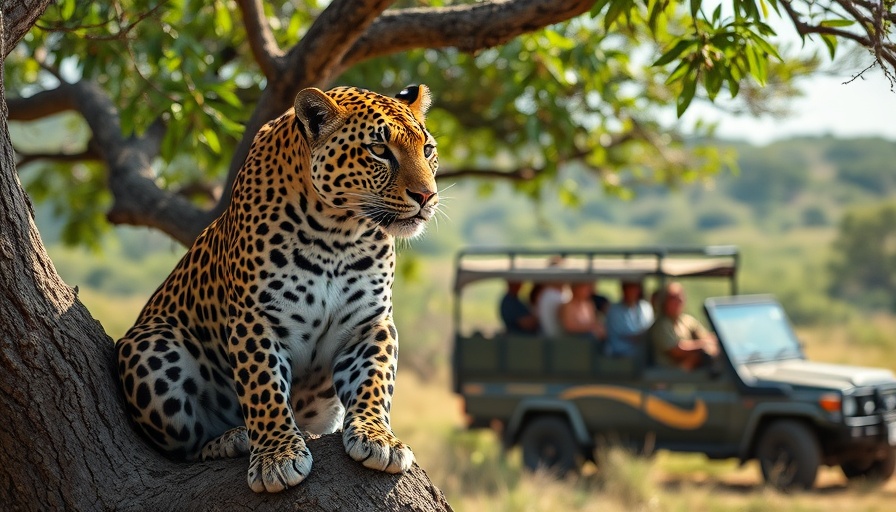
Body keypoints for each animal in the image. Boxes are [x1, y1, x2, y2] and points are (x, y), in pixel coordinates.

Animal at [115, 84, 439, 493]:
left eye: (428, 150)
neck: (337, 234)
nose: (427, 196)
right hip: (150, 344)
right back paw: (231, 439)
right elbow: (263, 387)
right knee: (183, 450)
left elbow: (374, 380)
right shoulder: (255, 320)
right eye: (379, 150)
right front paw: (277, 456)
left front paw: (378, 437)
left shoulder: (370, 323)